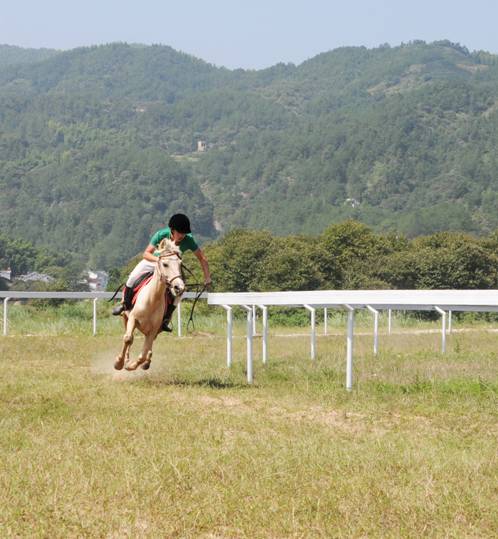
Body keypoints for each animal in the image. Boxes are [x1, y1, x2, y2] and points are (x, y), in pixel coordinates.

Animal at [114, 240, 185, 372]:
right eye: (165, 264)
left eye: (180, 264)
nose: (179, 287)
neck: (152, 300)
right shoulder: (133, 318)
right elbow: (128, 339)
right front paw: (119, 363)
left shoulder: (153, 330)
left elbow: (143, 354)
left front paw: (132, 366)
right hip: (125, 318)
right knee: (128, 338)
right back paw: (126, 359)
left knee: (149, 348)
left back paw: (146, 363)